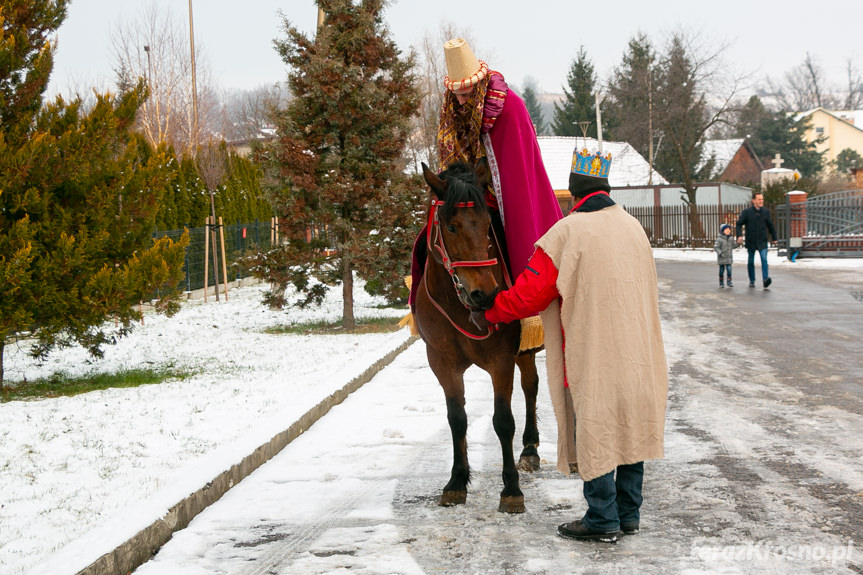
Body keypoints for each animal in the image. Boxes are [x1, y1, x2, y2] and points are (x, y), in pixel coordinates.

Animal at [414, 158, 540, 512]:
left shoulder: (502, 360)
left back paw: (531, 448)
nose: (485, 295)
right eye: (451, 227)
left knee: (534, 385)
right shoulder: (441, 360)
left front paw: (511, 488)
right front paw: (457, 481)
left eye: (486, 225)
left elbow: (503, 421)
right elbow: (456, 418)